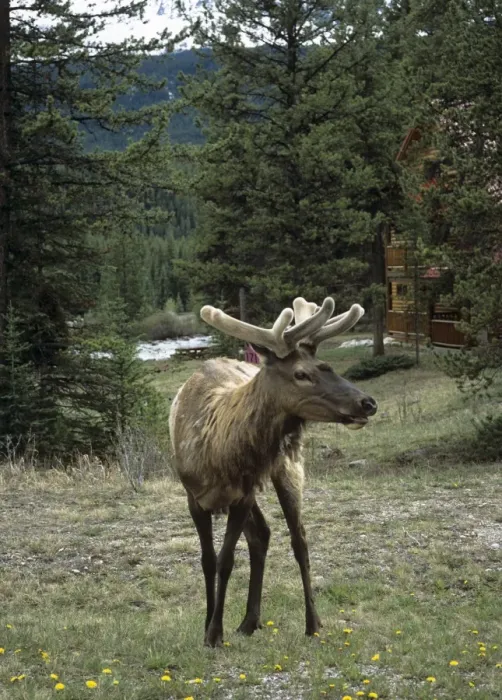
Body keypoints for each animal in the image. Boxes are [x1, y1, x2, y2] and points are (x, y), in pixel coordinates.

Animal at [169, 296, 377, 647]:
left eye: (328, 366)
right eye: (301, 373)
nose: (368, 403)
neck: (218, 453)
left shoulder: (241, 496)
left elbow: (225, 560)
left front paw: (215, 632)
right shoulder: (194, 497)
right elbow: (208, 561)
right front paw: (208, 625)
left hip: (287, 468)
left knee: (299, 539)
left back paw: (312, 623)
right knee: (263, 534)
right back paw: (249, 621)